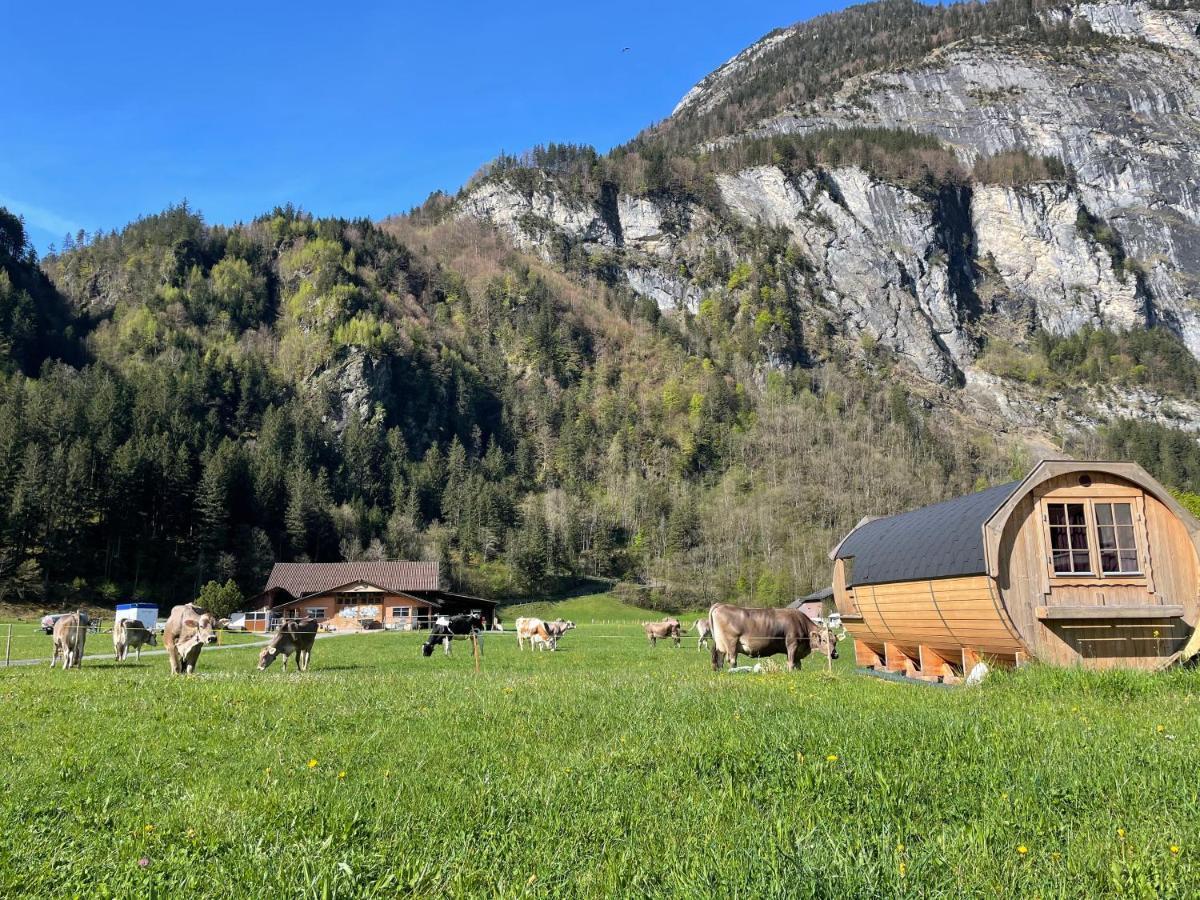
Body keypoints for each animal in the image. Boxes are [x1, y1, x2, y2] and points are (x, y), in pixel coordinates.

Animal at [705, 602, 840, 672]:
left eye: (835, 641)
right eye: (824, 640)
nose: (834, 654)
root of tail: (720, 605)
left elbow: (798, 664)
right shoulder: (792, 644)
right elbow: (791, 663)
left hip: (721, 645)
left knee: (719, 659)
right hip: (731, 643)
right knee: (731, 660)